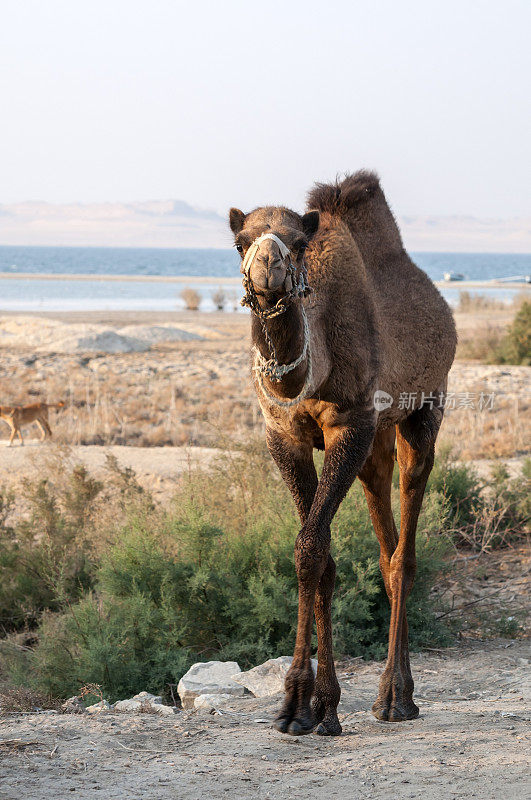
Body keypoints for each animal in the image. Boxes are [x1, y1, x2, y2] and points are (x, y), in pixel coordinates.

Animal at [229, 170, 458, 736]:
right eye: (241, 241)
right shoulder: (284, 436)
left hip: (424, 410)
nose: (268, 266)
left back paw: (395, 698)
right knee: (386, 542)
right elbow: (321, 557)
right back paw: (391, 694)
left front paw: (300, 704)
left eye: (298, 243)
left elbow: (310, 549)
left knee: (404, 554)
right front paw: (316, 706)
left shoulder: (349, 427)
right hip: (376, 446)